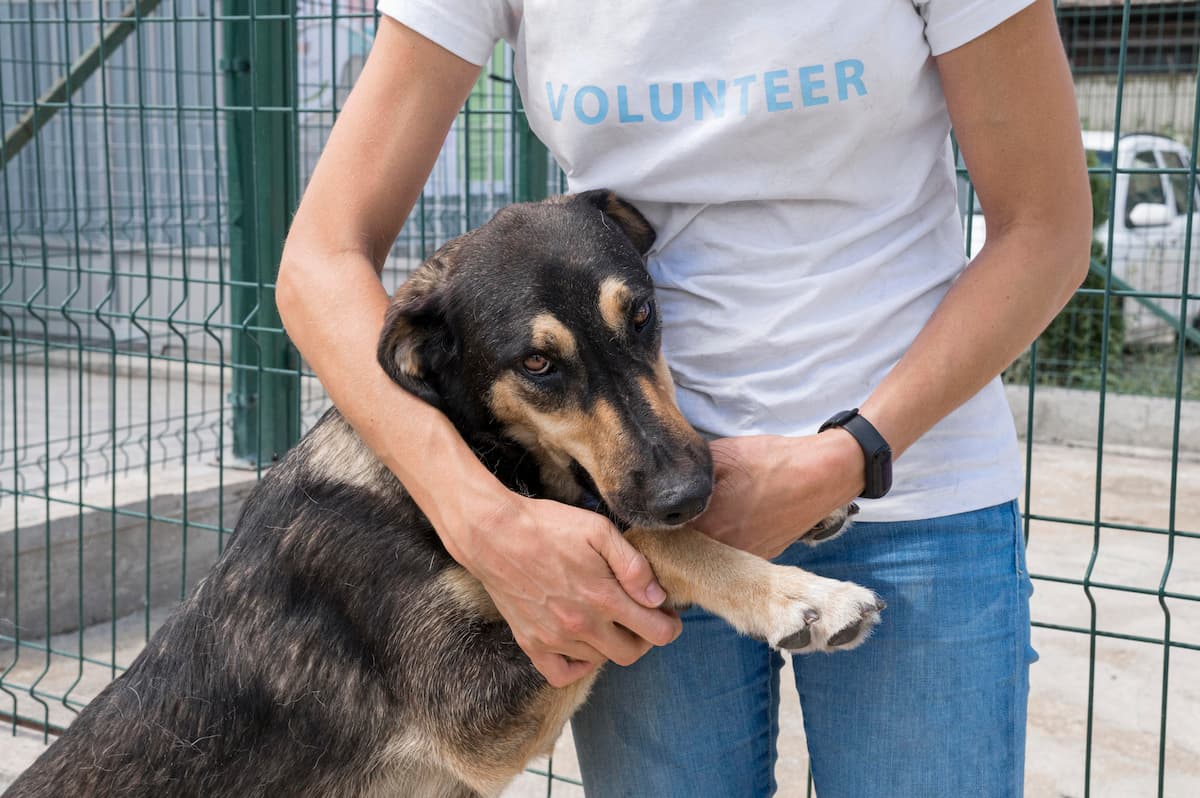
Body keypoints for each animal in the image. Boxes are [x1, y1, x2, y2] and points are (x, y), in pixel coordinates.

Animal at [4, 188, 888, 796]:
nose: (688, 491)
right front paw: (795, 595)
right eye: (537, 364)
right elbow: (632, 537)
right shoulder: (479, 716)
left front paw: (775, 487)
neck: (474, 462)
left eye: (640, 315)